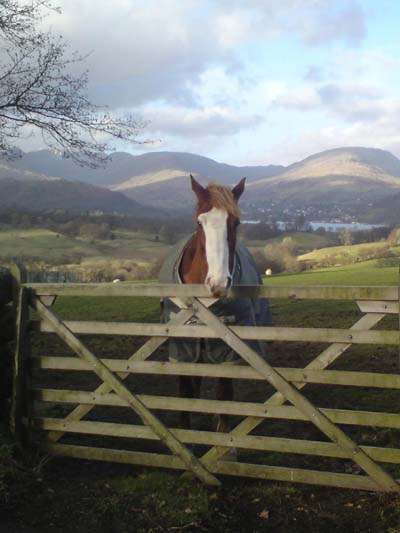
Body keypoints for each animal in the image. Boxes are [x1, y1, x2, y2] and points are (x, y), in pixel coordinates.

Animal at [160, 175, 272, 436]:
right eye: (199, 222)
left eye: (236, 222)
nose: (219, 283)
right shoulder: (182, 347)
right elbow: (185, 393)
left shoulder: (227, 347)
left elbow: (224, 395)